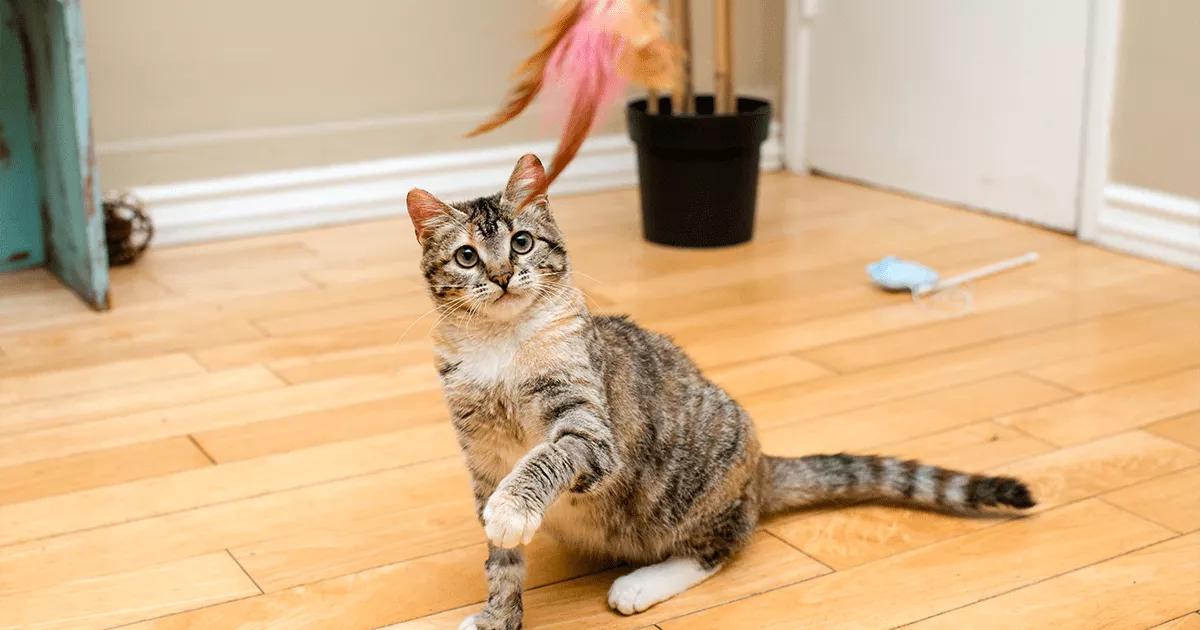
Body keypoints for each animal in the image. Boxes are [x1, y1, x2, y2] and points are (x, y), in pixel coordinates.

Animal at [408, 153, 1036, 628]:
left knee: (720, 546)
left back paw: (643, 583)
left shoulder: (588, 428)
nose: (501, 276)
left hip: (693, 496)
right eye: (467, 256)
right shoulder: (482, 459)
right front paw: (498, 616)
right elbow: (503, 565)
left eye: (521, 243)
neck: (501, 347)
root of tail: (761, 470)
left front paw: (513, 509)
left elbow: (550, 458)